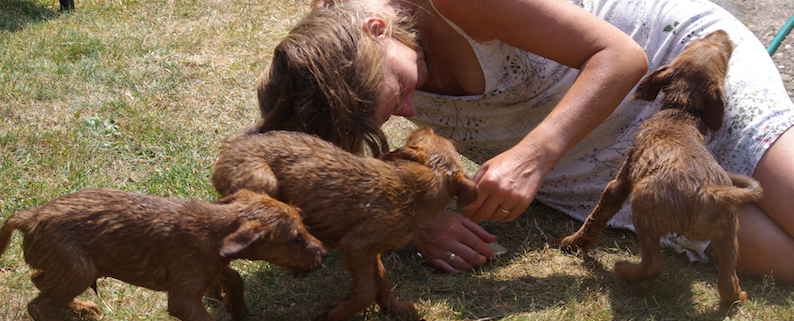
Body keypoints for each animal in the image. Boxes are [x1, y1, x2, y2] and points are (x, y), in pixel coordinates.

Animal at [0, 188, 324, 320]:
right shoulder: (183, 297)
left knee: (39, 280)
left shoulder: (212, 268)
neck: (214, 230)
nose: (322, 252)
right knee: (39, 305)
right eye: (295, 238)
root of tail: (29, 216)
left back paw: (81, 308)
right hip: (79, 268)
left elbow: (235, 280)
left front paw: (240, 310)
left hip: (70, 267)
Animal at [210, 127, 480, 320]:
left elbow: (382, 280)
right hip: (264, 183)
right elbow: (366, 291)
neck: (416, 188)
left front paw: (394, 308)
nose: (427, 127)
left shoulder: (371, 251)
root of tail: (231, 145)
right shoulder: (357, 246)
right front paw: (335, 314)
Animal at [556, 30, 760, 304]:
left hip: (643, 206)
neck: (681, 112)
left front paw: (573, 243)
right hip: (728, 235)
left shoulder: (620, 183)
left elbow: (596, 215)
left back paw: (624, 269)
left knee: (653, 264)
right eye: (704, 42)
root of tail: (708, 192)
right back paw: (738, 295)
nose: (723, 33)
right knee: (728, 282)